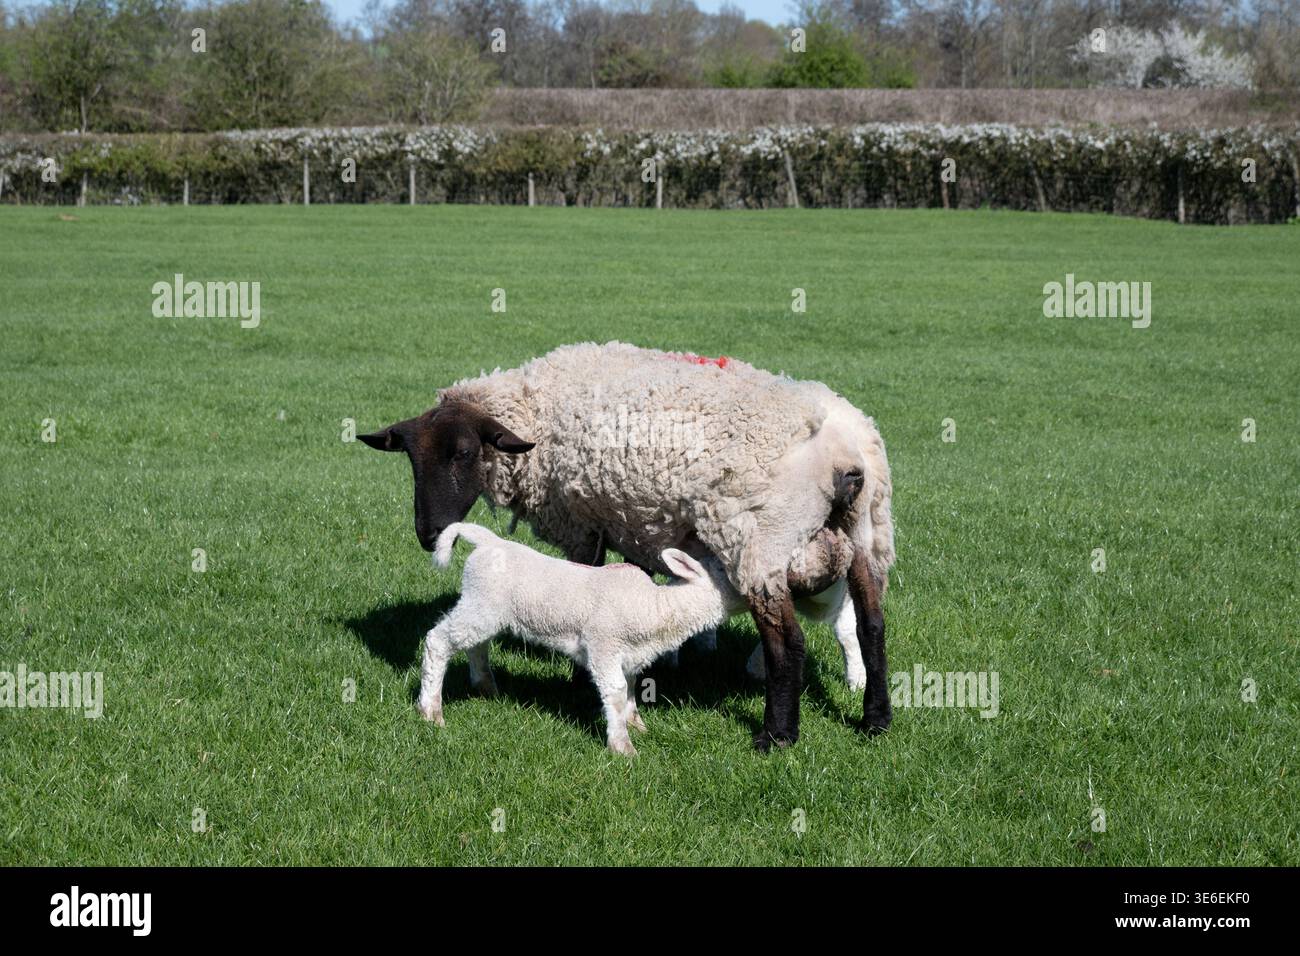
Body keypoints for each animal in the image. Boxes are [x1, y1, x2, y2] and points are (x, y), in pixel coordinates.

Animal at [418, 523, 855, 756]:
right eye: (726, 571)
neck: (655, 607)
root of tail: (487, 541)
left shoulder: (630, 654)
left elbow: (629, 688)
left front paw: (636, 723)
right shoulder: (603, 644)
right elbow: (612, 690)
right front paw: (623, 746)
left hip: (487, 609)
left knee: (476, 645)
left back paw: (485, 685)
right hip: (480, 605)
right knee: (438, 642)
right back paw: (430, 710)